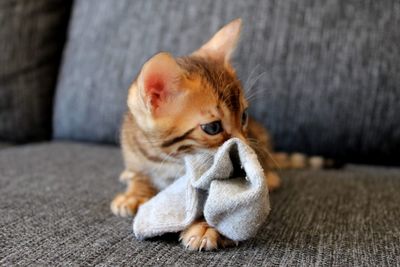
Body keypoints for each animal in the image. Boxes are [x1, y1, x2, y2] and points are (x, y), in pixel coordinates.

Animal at [111, 18, 282, 251]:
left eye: (244, 116)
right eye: (213, 128)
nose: (244, 145)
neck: (167, 159)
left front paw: (204, 227)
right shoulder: (132, 146)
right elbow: (139, 173)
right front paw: (134, 194)